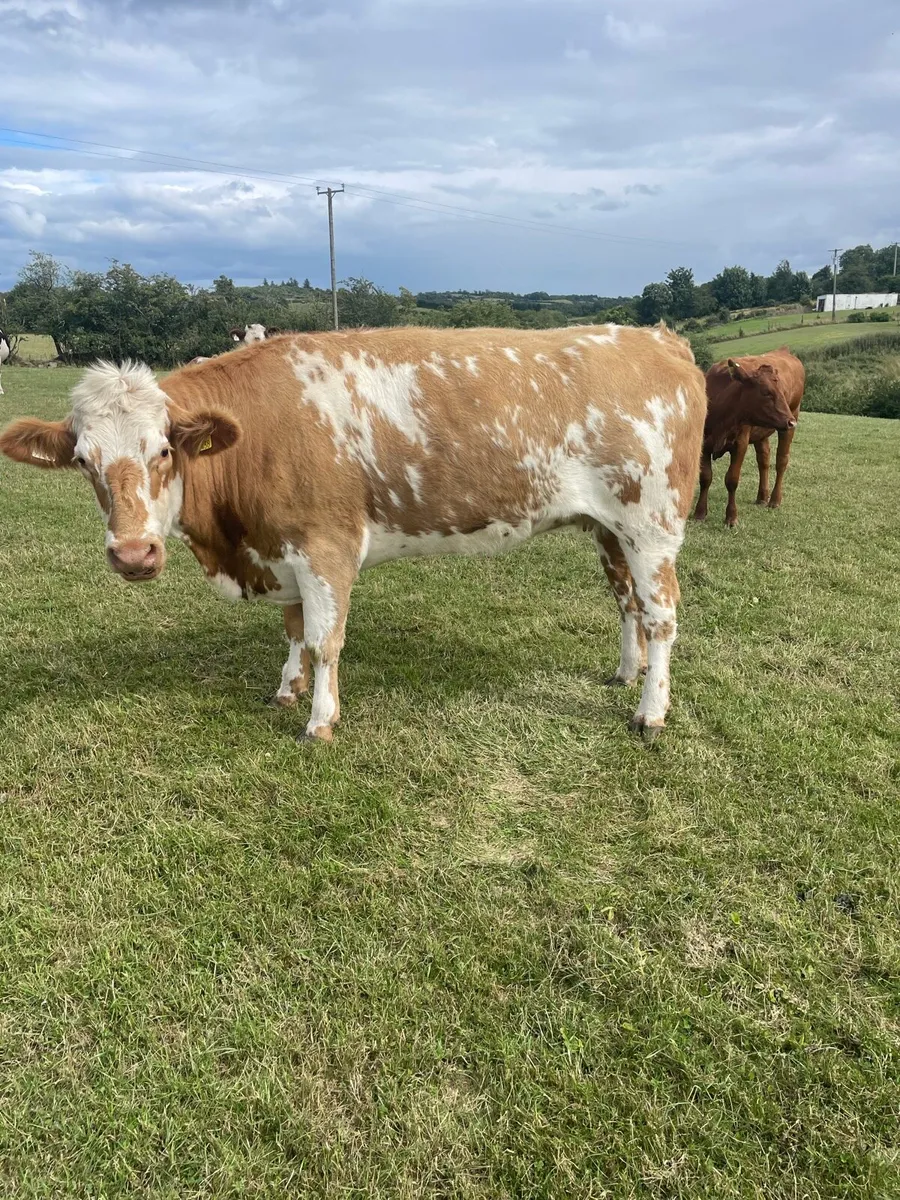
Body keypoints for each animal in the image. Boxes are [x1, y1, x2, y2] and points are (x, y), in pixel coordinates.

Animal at [0, 324, 706, 743]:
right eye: (83, 462)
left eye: (164, 451)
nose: (133, 553)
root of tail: (653, 336)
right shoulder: (280, 551)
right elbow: (292, 632)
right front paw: (287, 689)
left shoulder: (326, 549)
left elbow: (324, 640)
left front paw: (320, 720)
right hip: (610, 529)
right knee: (627, 603)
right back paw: (627, 673)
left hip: (652, 524)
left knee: (662, 615)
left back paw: (651, 710)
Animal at [693, 348, 805, 527]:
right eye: (766, 392)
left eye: (782, 391)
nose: (791, 422)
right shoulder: (704, 443)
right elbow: (705, 478)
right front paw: (700, 513)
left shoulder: (740, 444)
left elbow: (732, 480)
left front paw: (731, 517)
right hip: (761, 433)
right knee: (764, 461)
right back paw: (762, 497)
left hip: (791, 418)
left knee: (781, 461)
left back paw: (774, 500)